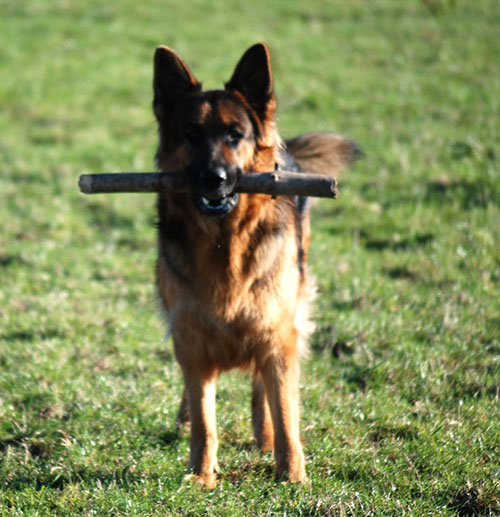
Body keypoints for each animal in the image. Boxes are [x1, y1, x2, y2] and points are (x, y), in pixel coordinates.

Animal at [153, 43, 358, 488]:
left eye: (236, 136)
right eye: (191, 135)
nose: (213, 178)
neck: (223, 244)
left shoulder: (278, 336)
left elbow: (283, 412)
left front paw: (291, 474)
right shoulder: (191, 337)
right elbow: (204, 419)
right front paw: (202, 476)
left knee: (263, 391)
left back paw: (264, 437)